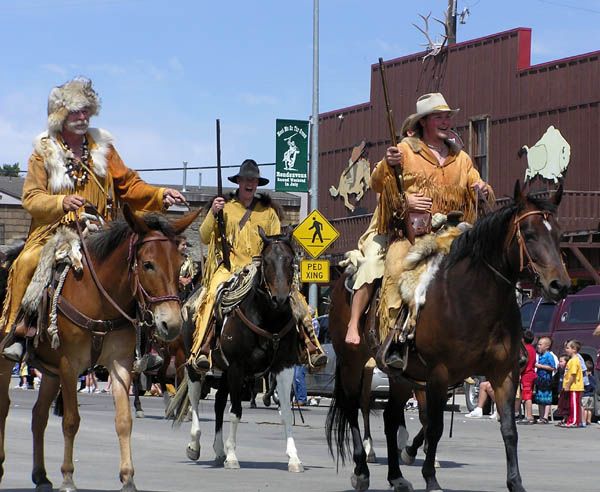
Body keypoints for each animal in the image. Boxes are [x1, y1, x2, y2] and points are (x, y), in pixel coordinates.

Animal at [0, 207, 200, 492]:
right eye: (148, 264)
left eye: (178, 264)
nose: (170, 324)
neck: (99, 297)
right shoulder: (69, 365)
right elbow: (71, 420)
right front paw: (68, 477)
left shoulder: (119, 364)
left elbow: (124, 421)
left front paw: (128, 477)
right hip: (9, 361)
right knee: (5, 407)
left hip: (49, 371)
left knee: (38, 416)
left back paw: (41, 476)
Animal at [330, 184, 568, 492]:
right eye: (528, 234)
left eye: (559, 234)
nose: (559, 285)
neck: (475, 298)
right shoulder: (439, 374)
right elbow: (435, 427)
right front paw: (431, 478)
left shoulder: (503, 373)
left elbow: (508, 429)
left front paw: (516, 483)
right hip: (353, 363)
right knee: (352, 408)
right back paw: (361, 470)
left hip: (400, 376)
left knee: (390, 417)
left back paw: (396, 477)